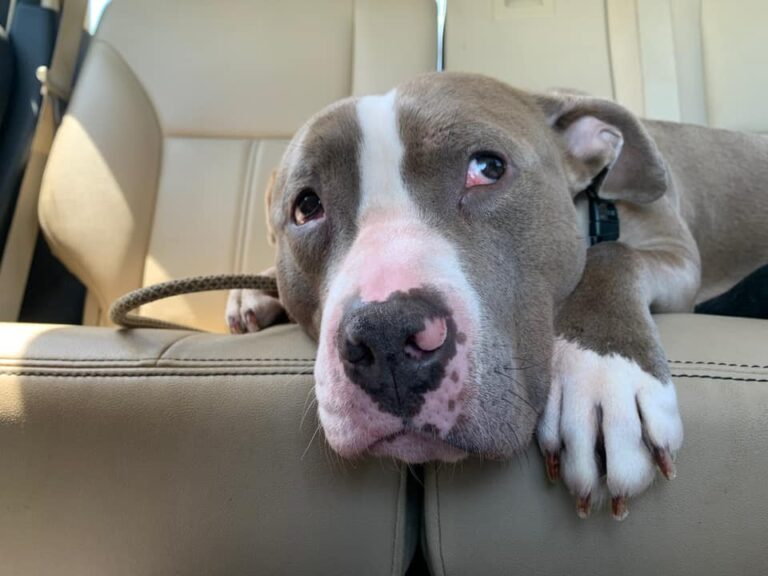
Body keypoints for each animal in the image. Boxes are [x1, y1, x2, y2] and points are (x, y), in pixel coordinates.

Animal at [225, 72, 764, 516]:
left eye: (487, 167)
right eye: (306, 207)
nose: (385, 336)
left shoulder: (678, 255)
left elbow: (610, 255)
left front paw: (602, 376)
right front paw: (253, 291)